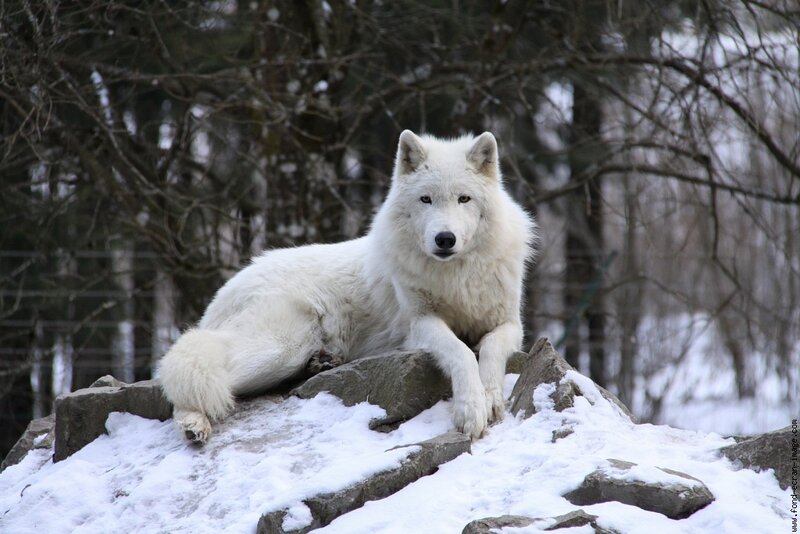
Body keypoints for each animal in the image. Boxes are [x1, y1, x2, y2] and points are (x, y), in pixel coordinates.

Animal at [157, 130, 535, 443]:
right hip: (281, 347)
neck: (456, 276)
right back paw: (193, 425)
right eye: (426, 199)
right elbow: (460, 352)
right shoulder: (420, 324)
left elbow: (490, 350)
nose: (445, 239)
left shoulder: (510, 323)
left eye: (464, 199)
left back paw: (322, 363)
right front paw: (471, 409)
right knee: (188, 371)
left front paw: (490, 399)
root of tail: (225, 290)